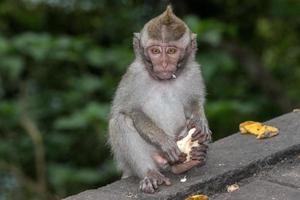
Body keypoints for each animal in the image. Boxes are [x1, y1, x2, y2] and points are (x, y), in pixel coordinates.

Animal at [108, 5, 211, 194]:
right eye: (155, 51)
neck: (164, 80)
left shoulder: (193, 72)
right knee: (120, 121)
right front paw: (164, 141)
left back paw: (190, 160)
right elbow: (130, 110)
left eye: (171, 51)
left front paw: (200, 122)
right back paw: (150, 174)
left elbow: (193, 102)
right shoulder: (134, 75)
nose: (163, 64)